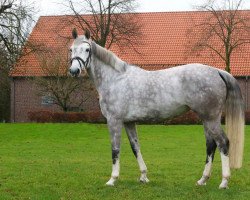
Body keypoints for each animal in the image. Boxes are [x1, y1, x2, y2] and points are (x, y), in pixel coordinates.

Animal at [68, 28, 244, 188]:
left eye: (87, 49)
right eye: (71, 49)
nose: (74, 71)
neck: (115, 79)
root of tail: (217, 71)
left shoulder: (114, 121)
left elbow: (115, 149)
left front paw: (112, 179)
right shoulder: (129, 122)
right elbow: (135, 147)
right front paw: (143, 176)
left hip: (210, 119)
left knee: (223, 143)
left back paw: (224, 182)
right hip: (206, 119)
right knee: (211, 145)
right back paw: (202, 180)